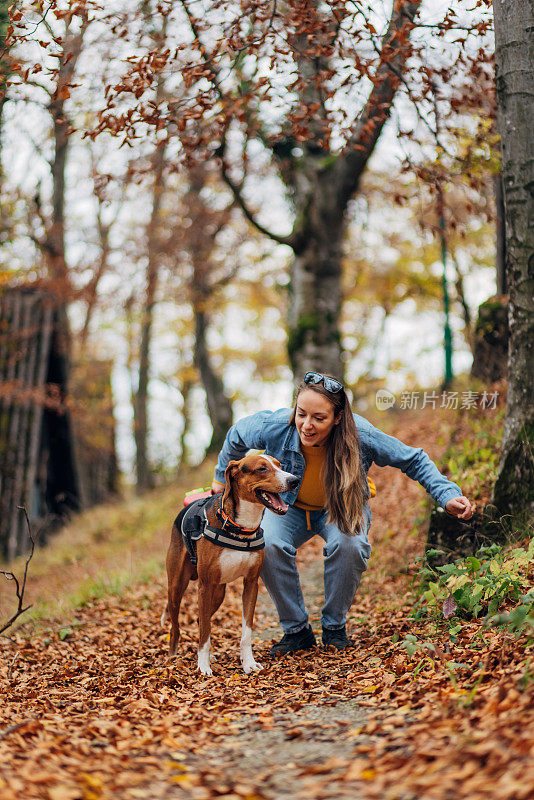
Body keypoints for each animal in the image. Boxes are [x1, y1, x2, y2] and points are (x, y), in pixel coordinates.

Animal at [164, 456, 298, 676]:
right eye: (262, 469)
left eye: (280, 465)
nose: (294, 480)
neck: (241, 527)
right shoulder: (204, 586)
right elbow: (204, 634)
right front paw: (203, 666)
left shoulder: (251, 584)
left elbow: (245, 632)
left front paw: (248, 663)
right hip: (177, 588)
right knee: (176, 627)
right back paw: (173, 657)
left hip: (218, 593)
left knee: (202, 620)